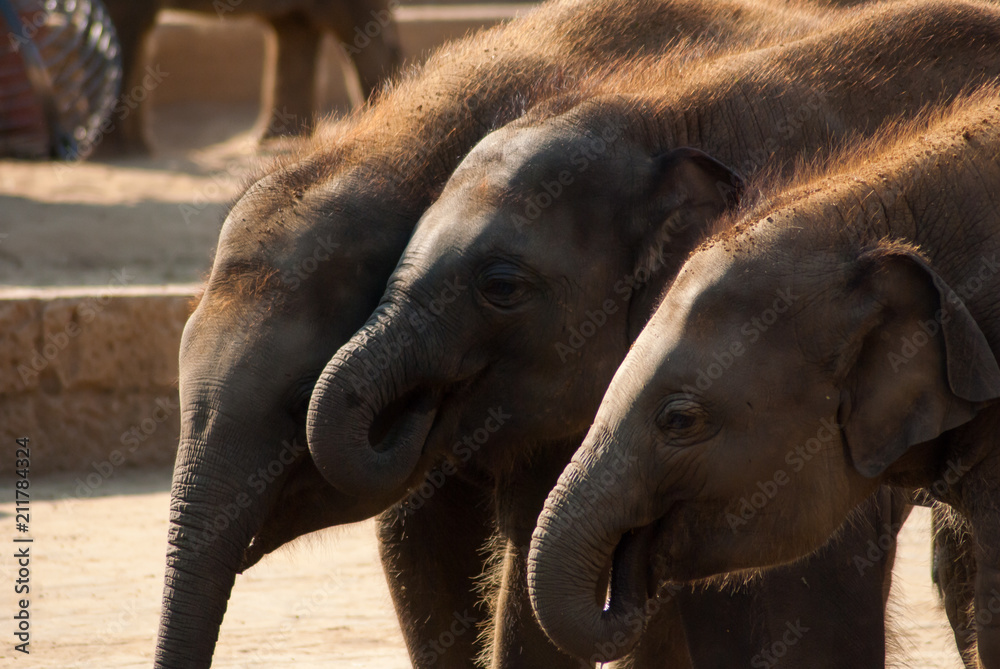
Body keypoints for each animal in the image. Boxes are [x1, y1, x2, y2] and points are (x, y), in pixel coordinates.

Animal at [97, 0, 402, 154]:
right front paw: (134, 149)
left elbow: (122, 21)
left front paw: (115, 153)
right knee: (294, 28)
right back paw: (276, 140)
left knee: (359, 33)